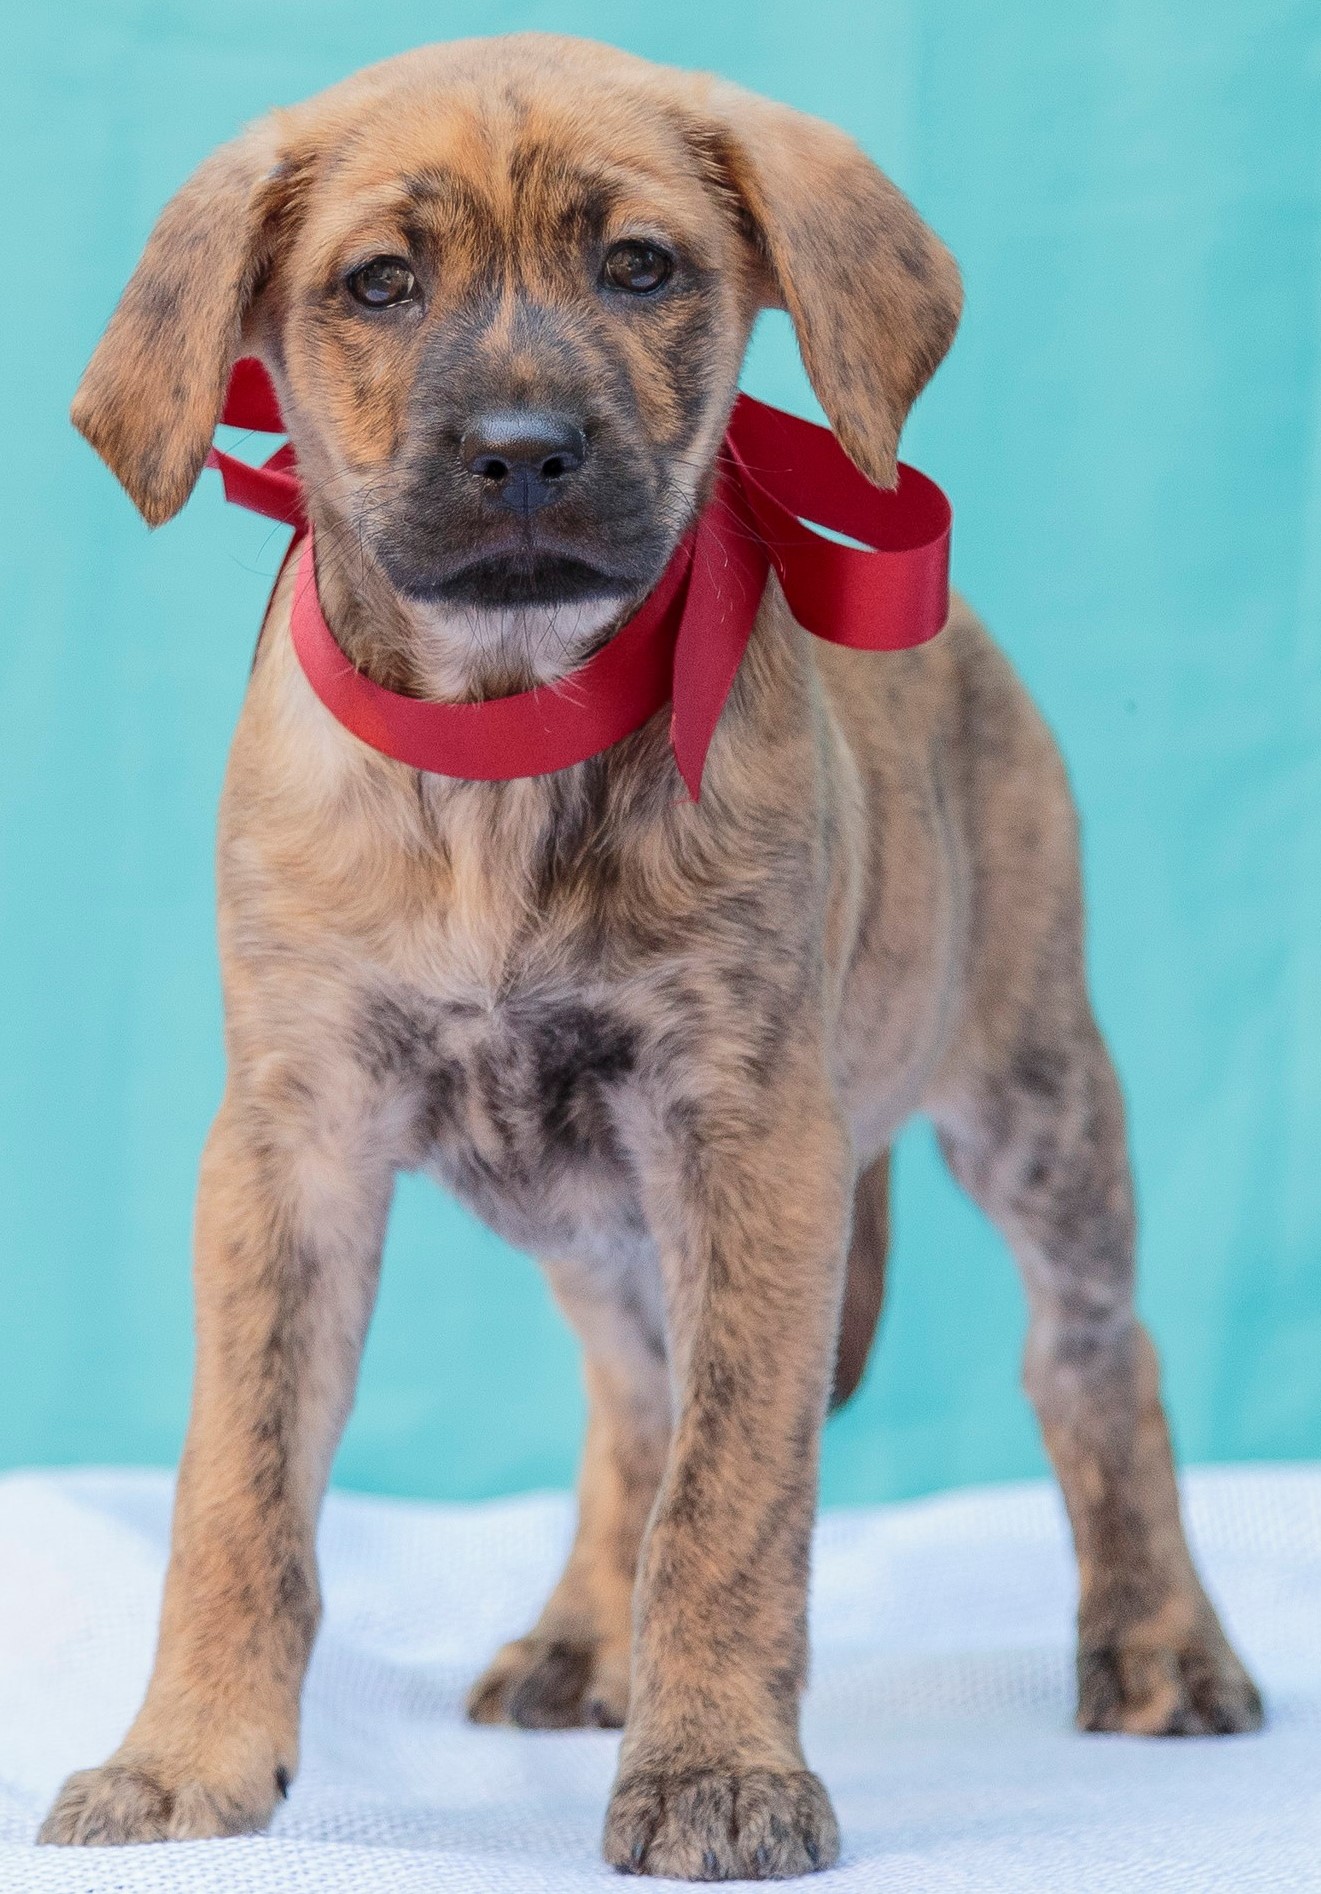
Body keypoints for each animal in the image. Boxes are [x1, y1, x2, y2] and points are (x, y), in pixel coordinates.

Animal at [38, 29, 1258, 1878]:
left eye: (640, 267)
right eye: (378, 285)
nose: (525, 453)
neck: (508, 735)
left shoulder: (752, 1140)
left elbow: (732, 1493)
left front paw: (716, 1771)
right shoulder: (288, 1145)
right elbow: (238, 1486)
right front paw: (188, 1753)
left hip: (1033, 1092)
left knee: (1094, 1356)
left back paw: (1159, 1638)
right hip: (605, 1209)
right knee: (628, 1396)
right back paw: (576, 1633)